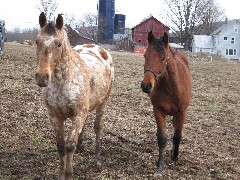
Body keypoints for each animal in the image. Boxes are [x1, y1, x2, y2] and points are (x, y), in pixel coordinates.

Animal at [34, 12, 114, 179]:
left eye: (59, 44)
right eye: (37, 41)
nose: (42, 77)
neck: (63, 82)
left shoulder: (78, 114)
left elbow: (70, 145)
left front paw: (69, 173)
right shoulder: (55, 116)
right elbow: (61, 145)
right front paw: (61, 174)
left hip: (103, 103)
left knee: (97, 128)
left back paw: (97, 161)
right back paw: (82, 146)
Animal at [141, 30, 191, 174]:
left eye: (163, 58)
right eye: (145, 55)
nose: (146, 86)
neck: (172, 87)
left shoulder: (182, 112)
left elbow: (177, 136)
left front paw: (175, 156)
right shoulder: (158, 111)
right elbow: (162, 138)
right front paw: (160, 165)